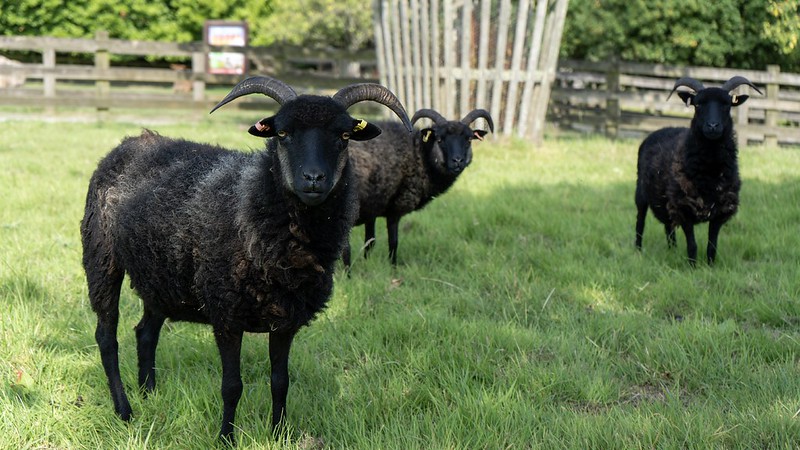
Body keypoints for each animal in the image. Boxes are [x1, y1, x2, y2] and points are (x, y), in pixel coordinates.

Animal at [80, 75, 411, 443]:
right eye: (282, 133)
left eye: (344, 136)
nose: (313, 178)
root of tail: (129, 142)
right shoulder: (226, 314)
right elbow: (232, 386)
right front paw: (226, 437)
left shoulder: (286, 319)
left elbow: (281, 382)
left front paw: (279, 433)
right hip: (100, 255)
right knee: (107, 337)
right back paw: (124, 409)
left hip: (160, 277)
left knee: (145, 332)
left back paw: (148, 392)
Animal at [341, 108, 493, 267]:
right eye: (439, 139)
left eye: (469, 139)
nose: (457, 161)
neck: (420, 154)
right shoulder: (395, 208)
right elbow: (393, 242)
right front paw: (393, 267)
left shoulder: (372, 209)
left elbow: (369, 243)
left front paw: (368, 263)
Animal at [634, 76, 762, 265]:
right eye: (698, 105)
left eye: (727, 105)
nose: (713, 126)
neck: (710, 172)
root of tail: (663, 129)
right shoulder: (684, 208)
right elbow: (692, 245)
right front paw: (692, 267)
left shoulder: (720, 211)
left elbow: (712, 245)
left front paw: (710, 266)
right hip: (641, 195)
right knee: (640, 222)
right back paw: (637, 251)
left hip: (665, 199)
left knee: (669, 227)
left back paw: (672, 251)